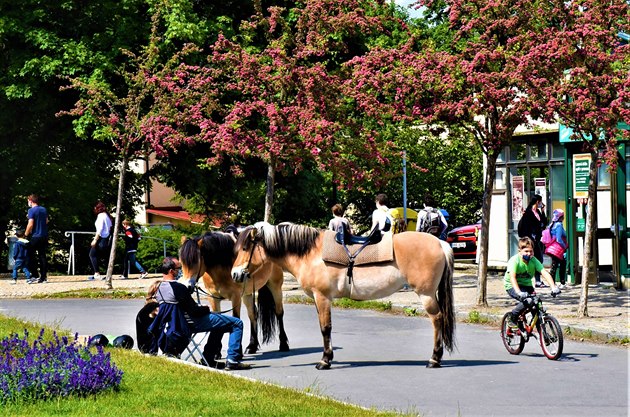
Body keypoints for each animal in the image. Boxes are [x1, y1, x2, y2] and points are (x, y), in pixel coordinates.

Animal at [231, 223, 454, 368]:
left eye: (246, 247)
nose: (235, 274)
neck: (310, 253)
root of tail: (439, 243)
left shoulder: (322, 297)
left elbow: (325, 328)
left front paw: (324, 361)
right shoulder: (318, 299)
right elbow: (325, 328)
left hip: (426, 295)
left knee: (437, 319)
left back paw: (434, 359)